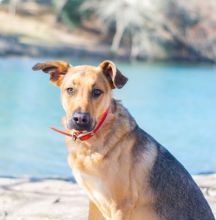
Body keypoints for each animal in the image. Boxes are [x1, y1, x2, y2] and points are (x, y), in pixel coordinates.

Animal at [32, 60, 214, 220]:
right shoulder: (94, 201)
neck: (91, 143)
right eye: (70, 90)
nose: (80, 119)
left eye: (97, 92)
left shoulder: (120, 206)